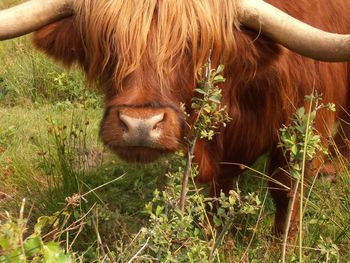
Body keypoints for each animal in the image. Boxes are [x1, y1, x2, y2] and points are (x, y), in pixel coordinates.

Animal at [2, 0, 350, 236]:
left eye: (193, 46)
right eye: (108, 42)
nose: (140, 126)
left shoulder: (305, 124)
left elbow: (286, 192)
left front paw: (282, 243)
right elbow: (221, 190)